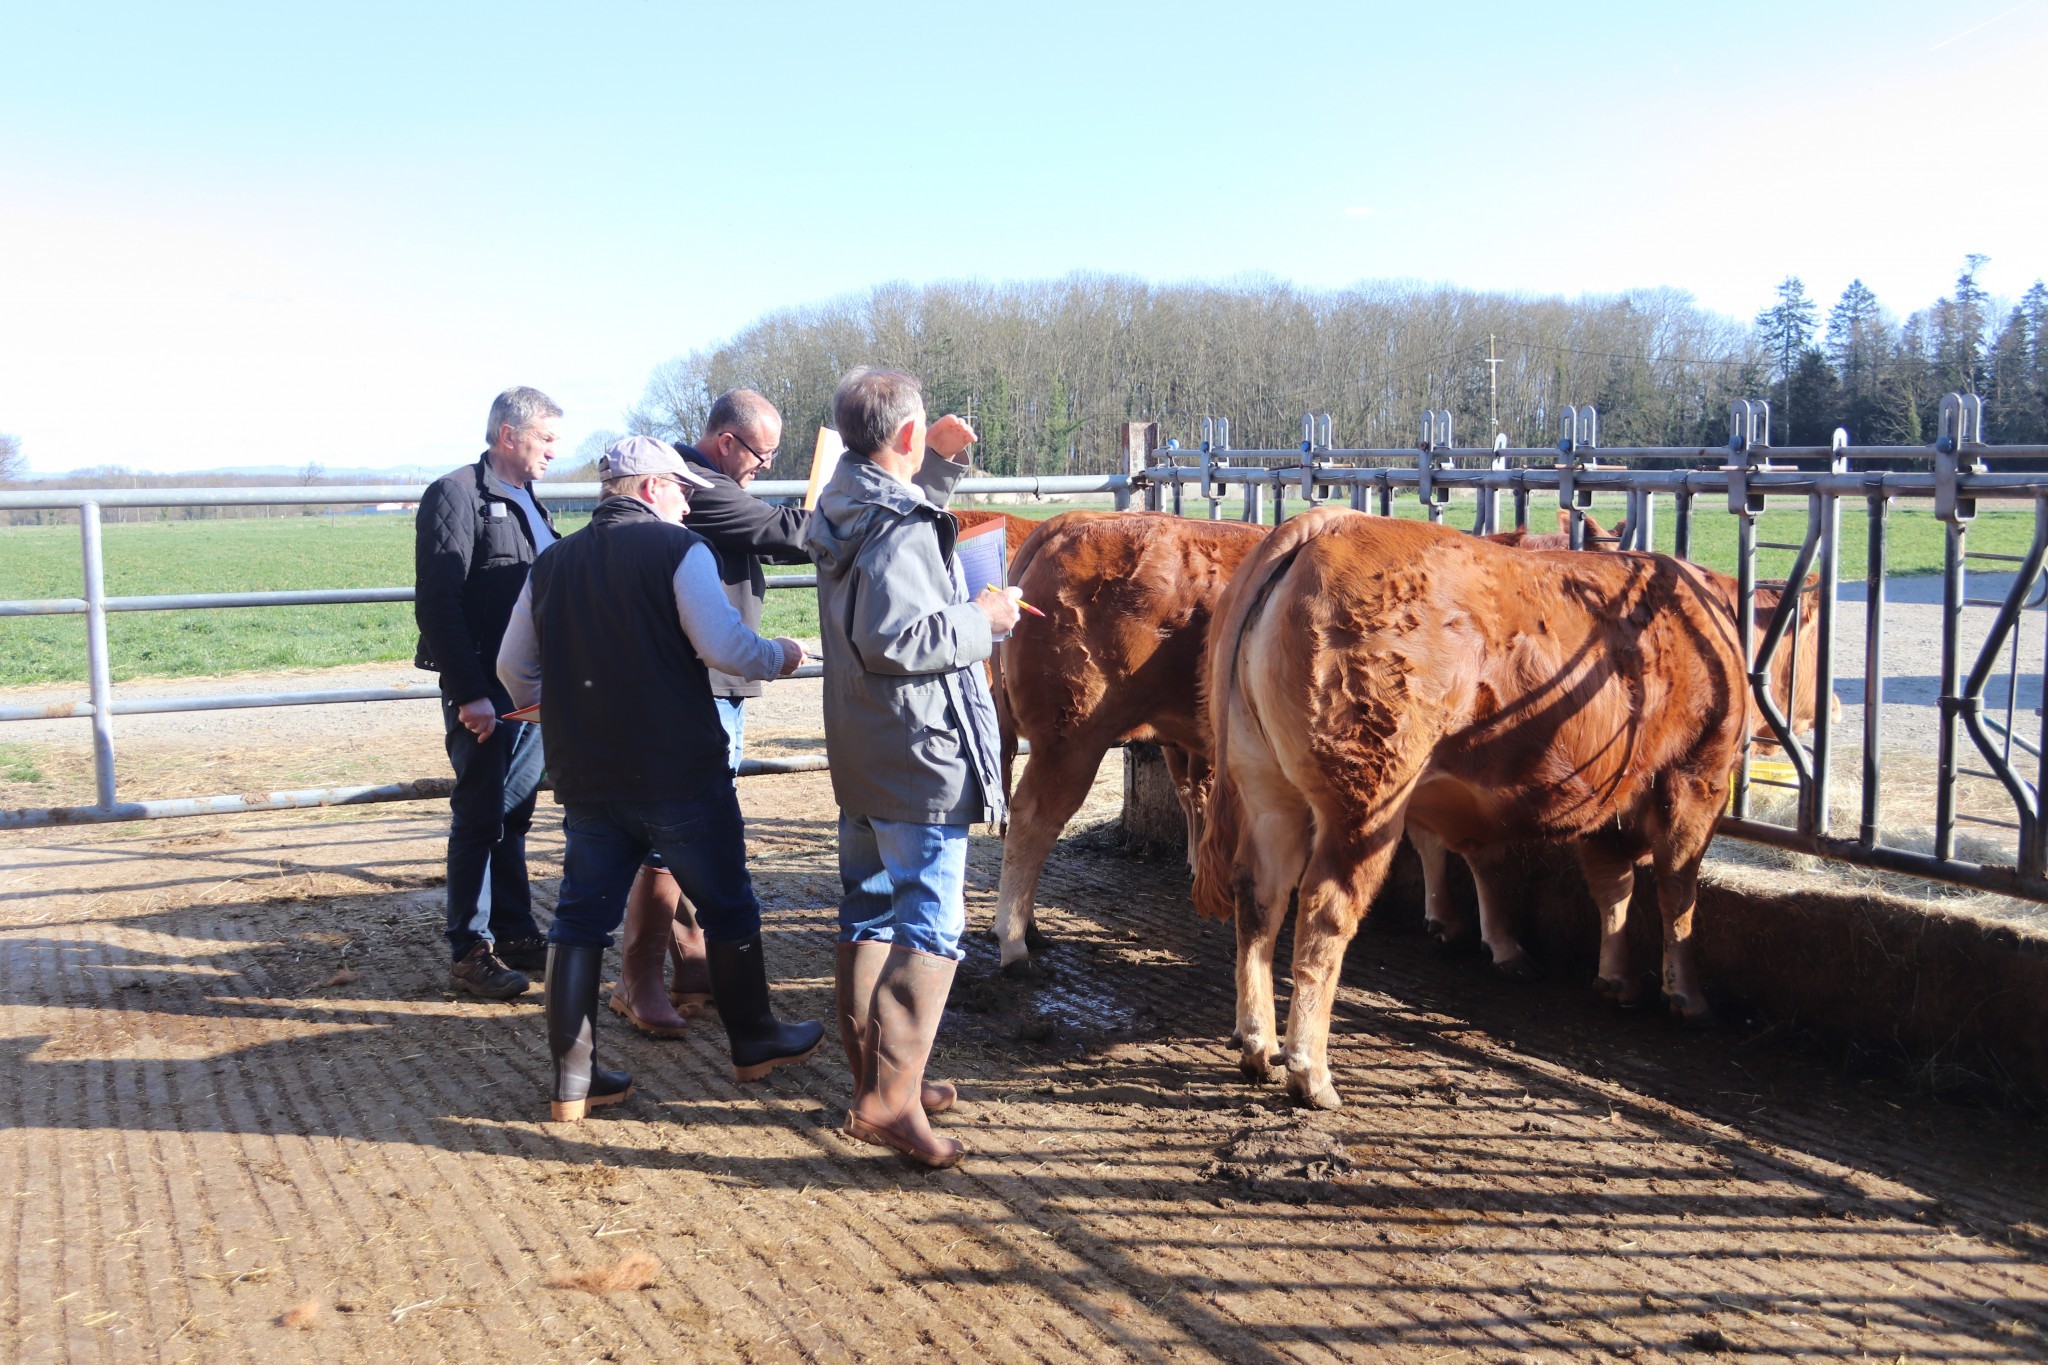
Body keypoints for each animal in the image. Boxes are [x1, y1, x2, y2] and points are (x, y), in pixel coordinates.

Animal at [1196, 511, 1777, 1113]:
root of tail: (1331, 522)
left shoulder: (1609, 798)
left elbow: (1610, 886)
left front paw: (1616, 978)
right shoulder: (1698, 777)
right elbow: (1677, 892)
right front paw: (1686, 997)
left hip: (1266, 788)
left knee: (1259, 902)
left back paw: (1258, 1046)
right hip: (1364, 803)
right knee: (1324, 912)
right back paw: (1311, 1073)